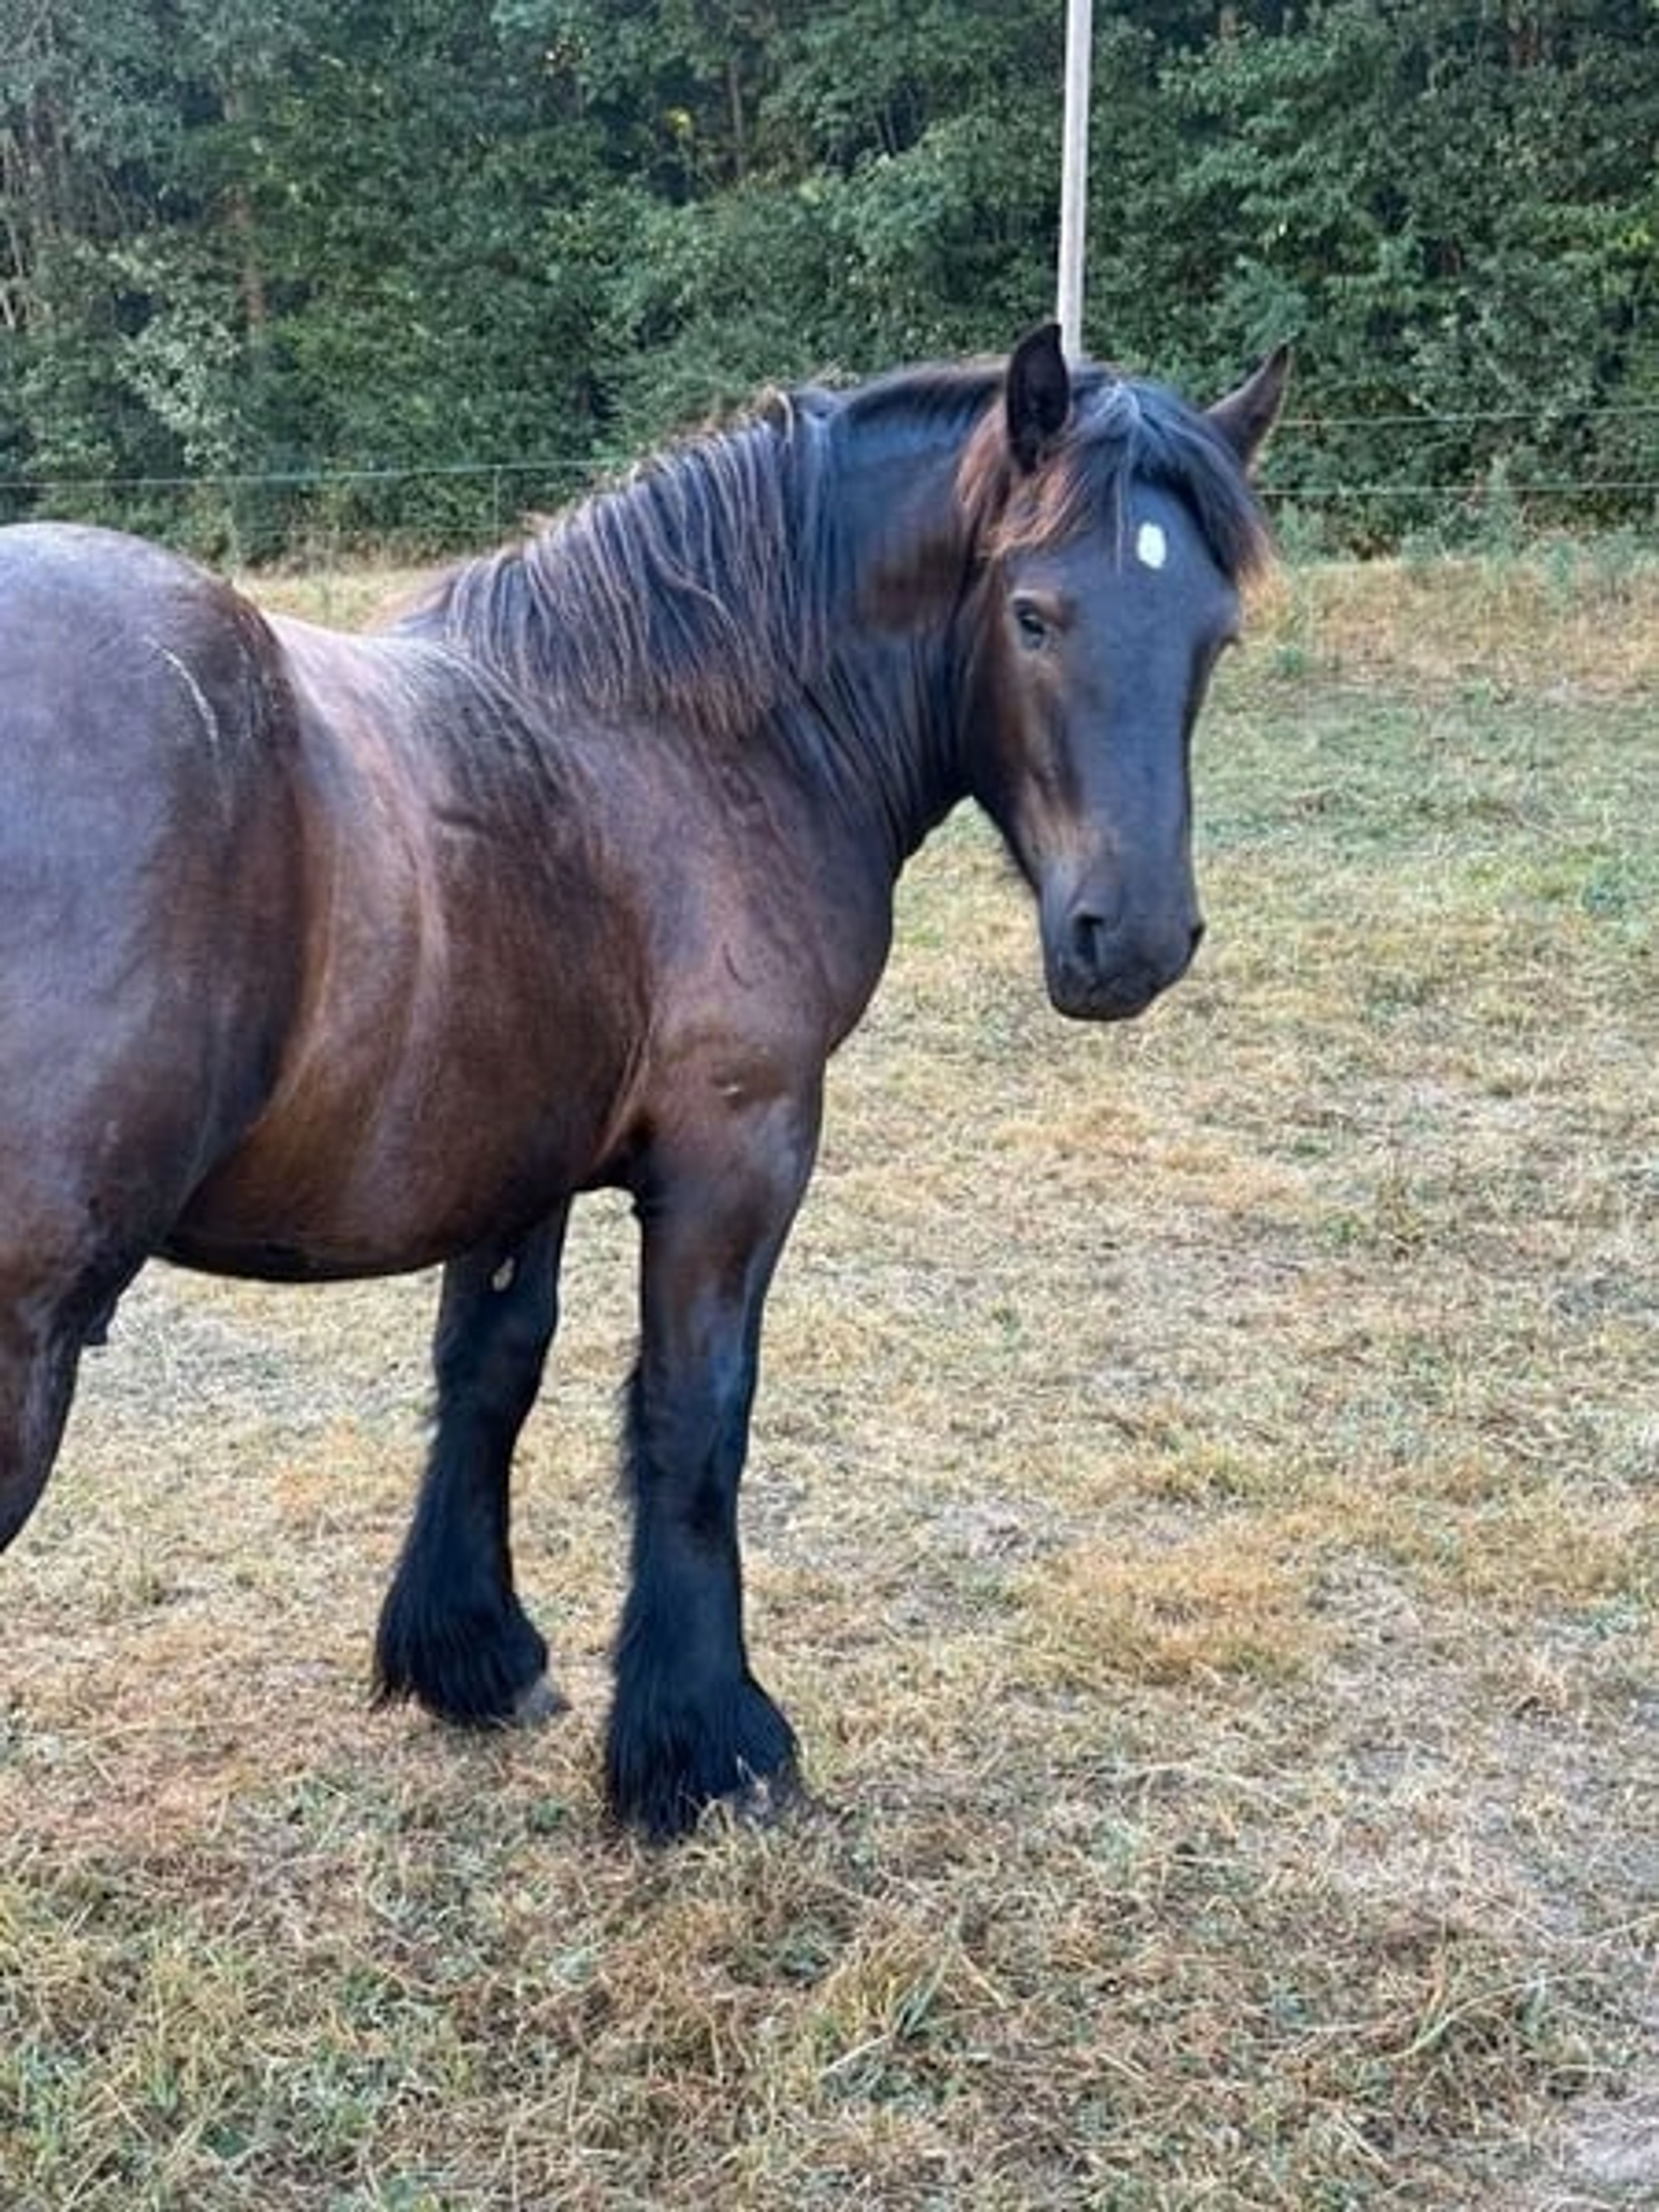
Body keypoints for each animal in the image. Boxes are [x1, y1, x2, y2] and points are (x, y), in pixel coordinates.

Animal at [0, 325, 1287, 1838]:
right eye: (1035, 615)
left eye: (1213, 633)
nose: (1130, 939)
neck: (682, 739)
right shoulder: (737, 1155)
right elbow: (694, 1415)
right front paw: (709, 1746)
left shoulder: (516, 1155)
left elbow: (491, 1369)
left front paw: (473, 1654)